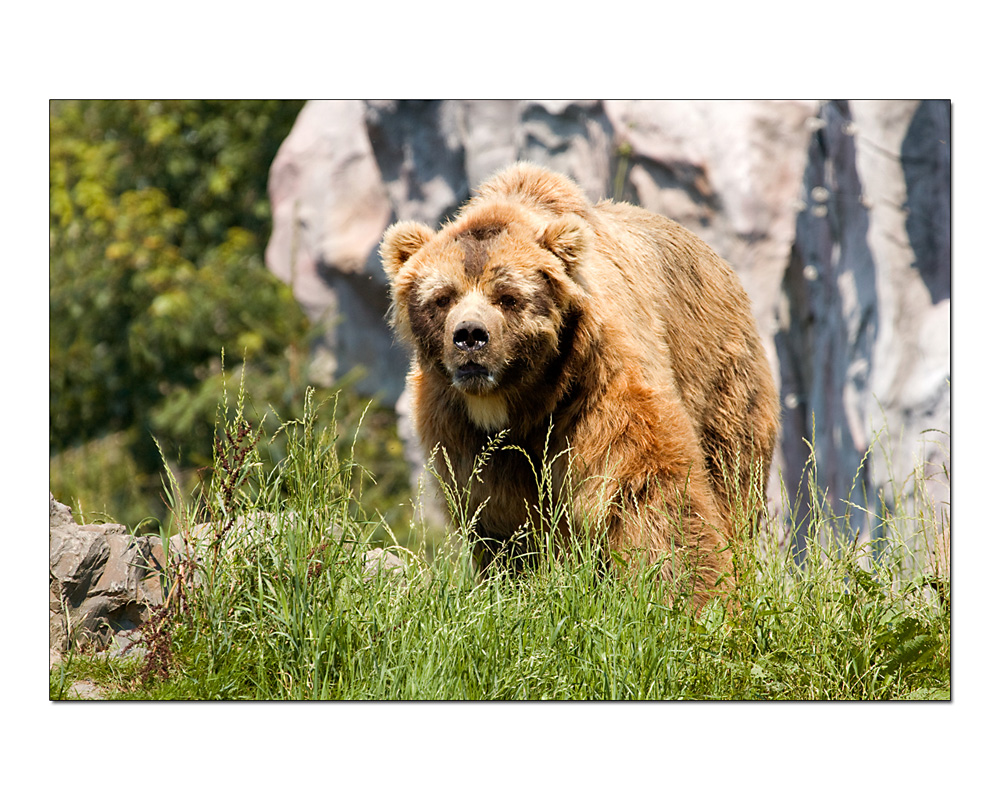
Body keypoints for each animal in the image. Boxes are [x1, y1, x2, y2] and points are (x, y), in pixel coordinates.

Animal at [378, 161, 776, 608]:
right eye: (442, 297)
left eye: (508, 297)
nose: (470, 336)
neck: (522, 400)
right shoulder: (460, 424)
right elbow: (499, 512)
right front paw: (517, 577)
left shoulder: (599, 379)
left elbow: (645, 483)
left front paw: (691, 592)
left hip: (721, 379)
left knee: (731, 476)